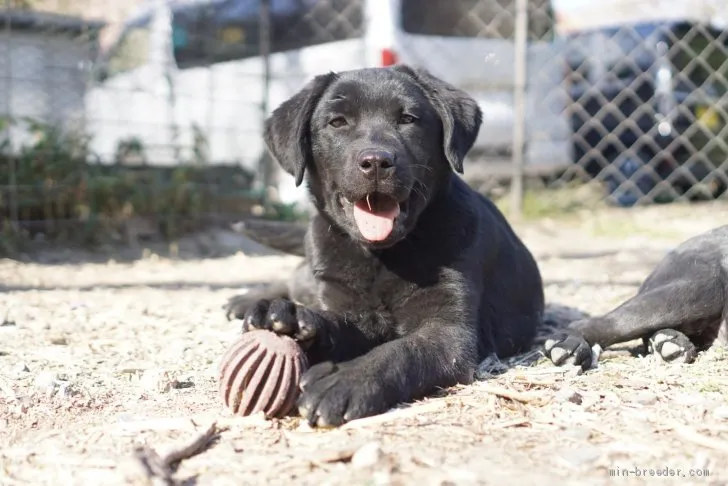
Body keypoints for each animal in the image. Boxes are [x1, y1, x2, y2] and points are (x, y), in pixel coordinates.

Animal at [225, 64, 544, 426]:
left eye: (408, 119)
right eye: (337, 122)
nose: (376, 161)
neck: (383, 256)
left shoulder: (450, 332)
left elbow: (400, 352)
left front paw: (345, 379)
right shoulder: (349, 309)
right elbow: (335, 322)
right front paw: (293, 320)